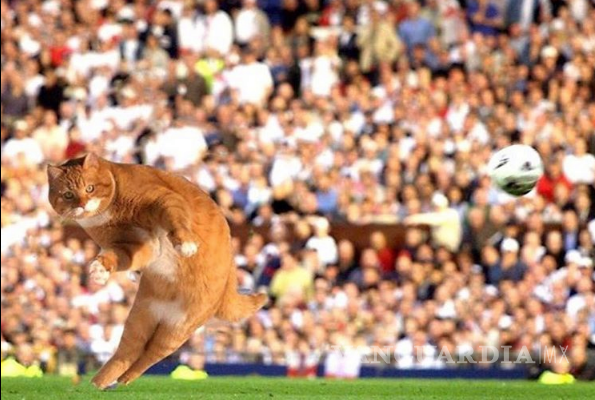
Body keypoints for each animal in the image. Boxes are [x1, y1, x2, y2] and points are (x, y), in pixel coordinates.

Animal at [47, 153, 266, 388]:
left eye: (89, 188)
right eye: (68, 194)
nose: (82, 204)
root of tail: (228, 285)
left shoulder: (163, 200)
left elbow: (176, 220)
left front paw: (185, 244)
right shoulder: (135, 246)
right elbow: (117, 257)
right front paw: (100, 269)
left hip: (176, 331)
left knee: (149, 356)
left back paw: (120, 381)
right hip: (140, 319)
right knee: (128, 353)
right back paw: (99, 383)